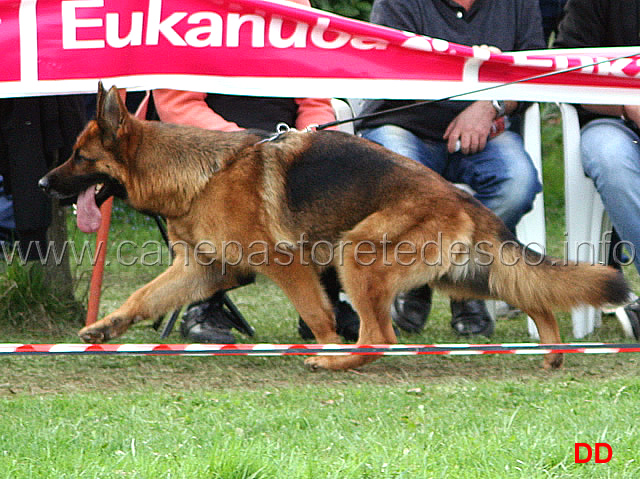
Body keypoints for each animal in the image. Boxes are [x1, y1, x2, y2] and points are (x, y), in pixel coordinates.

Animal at [38, 84, 632, 372]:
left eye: (79, 156)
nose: (43, 183)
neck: (198, 173)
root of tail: (457, 197)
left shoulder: (286, 266)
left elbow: (320, 316)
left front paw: (321, 345)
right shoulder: (203, 270)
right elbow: (144, 295)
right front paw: (106, 327)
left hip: (358, 255)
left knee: (381, 337)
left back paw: (338, 360)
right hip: (459, 274)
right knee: (531, 294)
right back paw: (551, 349)